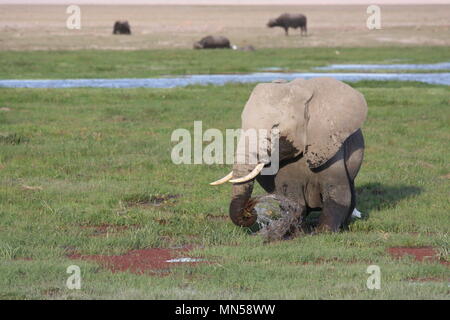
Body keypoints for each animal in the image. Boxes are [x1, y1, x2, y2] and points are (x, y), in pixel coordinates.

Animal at [210, 77, 366, 232]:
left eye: (275, 127)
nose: (250, 210)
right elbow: (292, 197)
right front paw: (294, 231)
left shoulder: (328, 143)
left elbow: (337, 192)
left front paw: (324, 231)